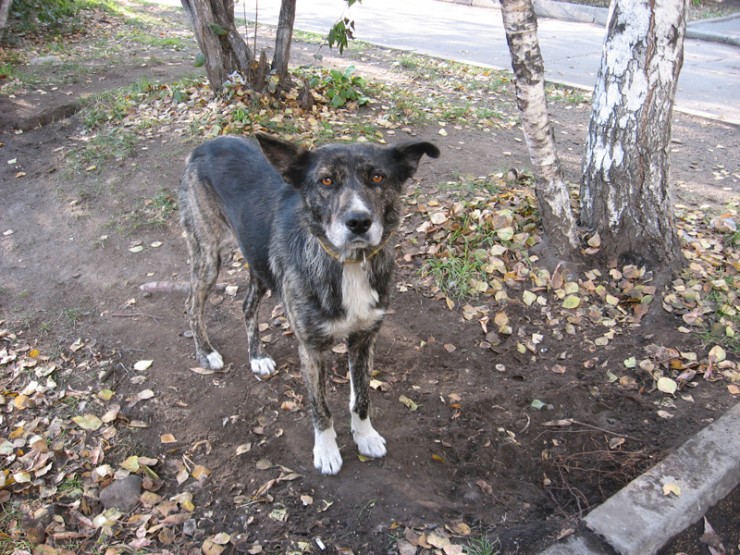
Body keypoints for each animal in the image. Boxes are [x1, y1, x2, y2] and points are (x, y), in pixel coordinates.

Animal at [178, 134, 440, 474]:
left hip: (260, 264)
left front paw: (365, 436)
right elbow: (321, 407)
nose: (359, 222)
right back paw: (206, 352)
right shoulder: (311, 349)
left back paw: (257, 356)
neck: (348, 264)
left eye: (377, 178)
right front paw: (326, 451)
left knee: (247, 305)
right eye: (326, 181)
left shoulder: (364, 339)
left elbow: (361, 397)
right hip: (208, 254)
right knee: (192, 304)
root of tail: (207, 144)